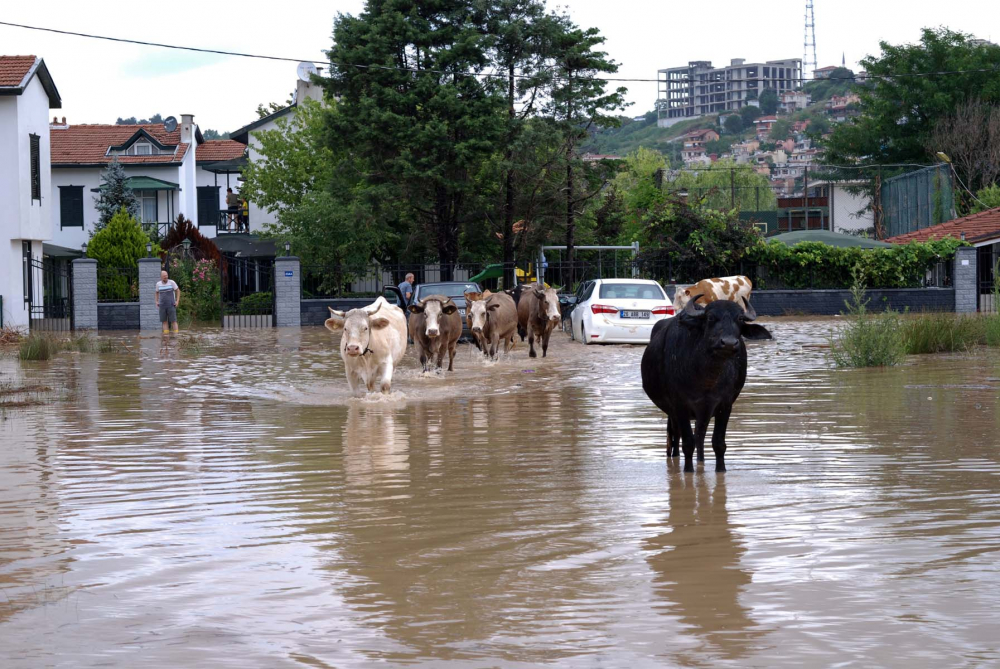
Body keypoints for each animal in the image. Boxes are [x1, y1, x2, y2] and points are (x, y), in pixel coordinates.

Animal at [640, 294, 772, 472]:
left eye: (739, 318)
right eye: (710, 318)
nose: (729, 343)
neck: (706, 378)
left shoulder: (724, 405)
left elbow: (718, 443)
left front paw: (720, 469)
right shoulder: (680, 405)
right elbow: (687, 443)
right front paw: (688, 471)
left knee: (700, 435)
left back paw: (700, 461)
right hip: (672, 412)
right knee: (675, 436)